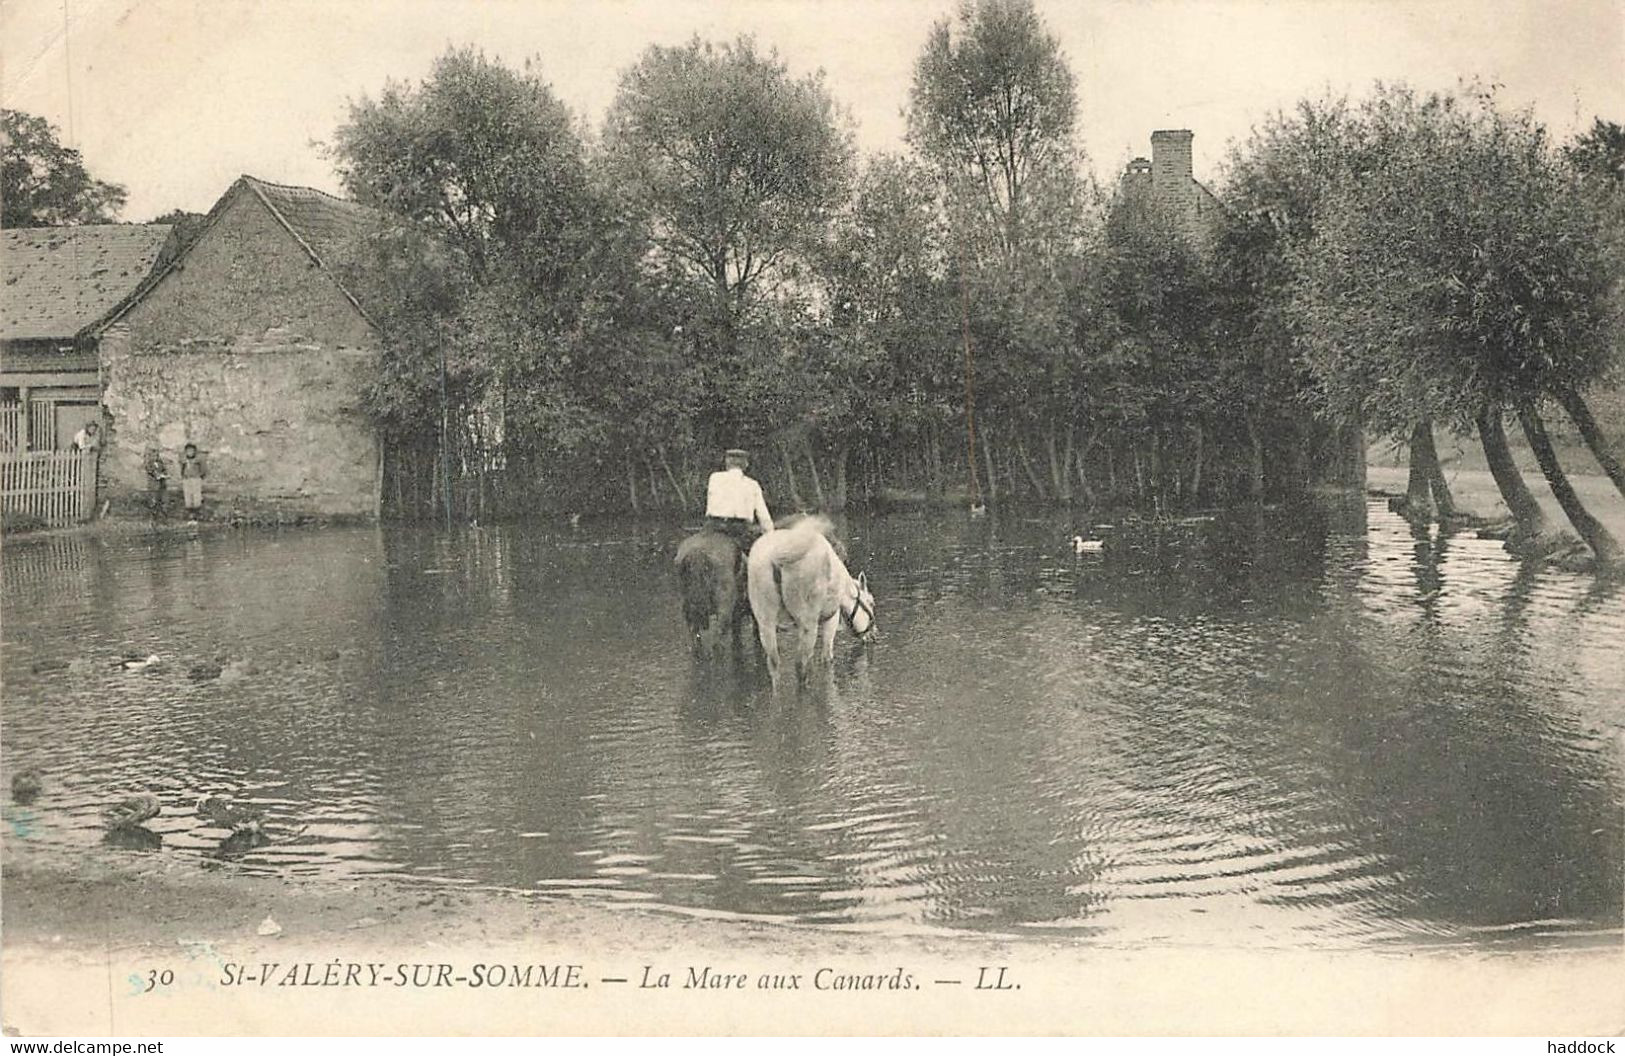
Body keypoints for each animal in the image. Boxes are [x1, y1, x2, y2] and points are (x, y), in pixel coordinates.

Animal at [747, 513, 877, 692]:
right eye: (871, 603)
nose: (874, 635)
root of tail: (778, 554)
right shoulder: (831, 619)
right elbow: (826, 658)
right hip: (808, 622)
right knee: (800, 664)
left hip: (765, 621)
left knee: (774, 663)